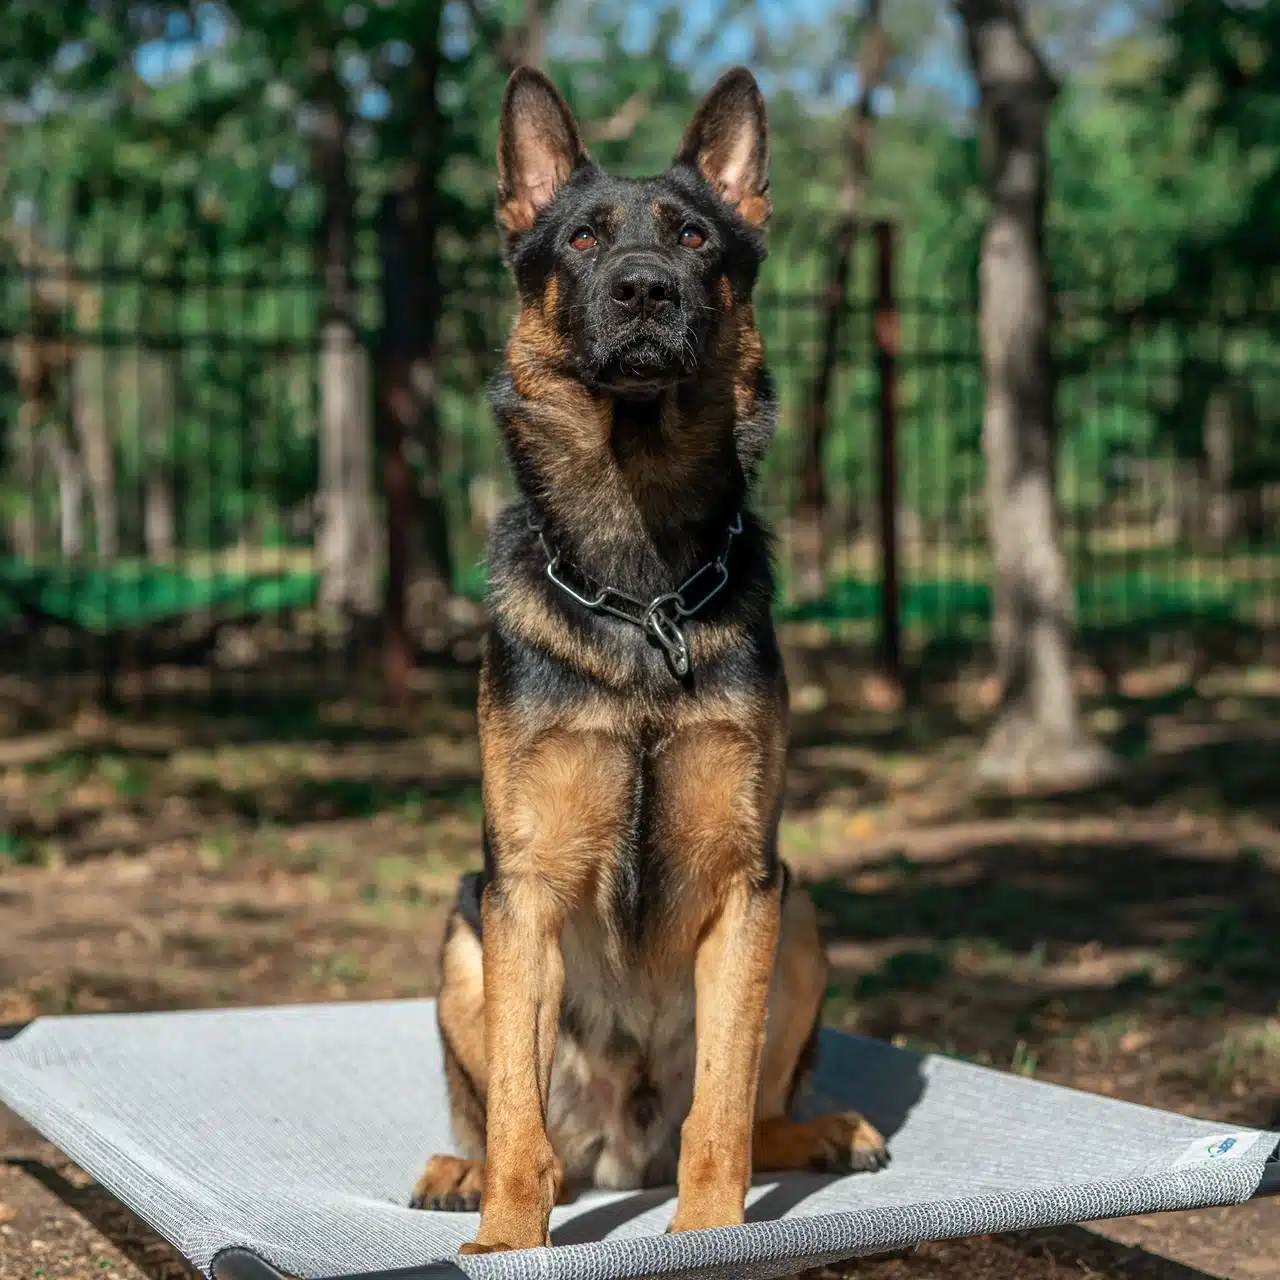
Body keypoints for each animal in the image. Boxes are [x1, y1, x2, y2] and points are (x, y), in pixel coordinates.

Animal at [412, 64, 890, 1254]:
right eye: (583, 237)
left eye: (692, 235)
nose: (644, 291)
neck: (640, 595)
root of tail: (618, 1146)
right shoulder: (523, 890)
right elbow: (519, 1116)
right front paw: (506, 1236)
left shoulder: (745, 884)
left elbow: (719, 1109)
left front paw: (709, 1229)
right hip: (464, 933)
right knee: (512, 1121)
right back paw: (463, 1167)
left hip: (799, 914)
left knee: (755, 1112)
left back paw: (820, 1133)